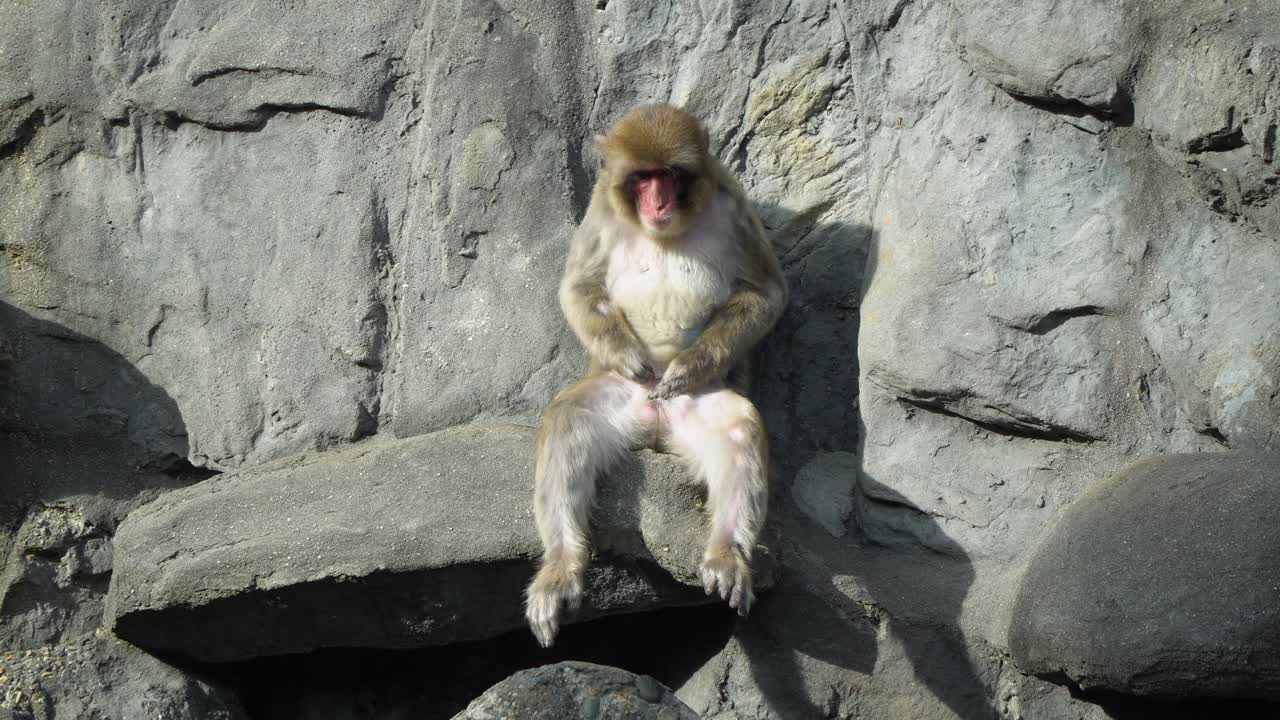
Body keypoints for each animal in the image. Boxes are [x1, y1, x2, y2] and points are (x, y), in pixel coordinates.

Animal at [524, 104, 787, 648]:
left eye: (668, 175)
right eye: (642, 178)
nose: (657, 200)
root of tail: (655, 424)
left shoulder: (734, 204)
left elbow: (765, 292)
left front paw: (690, 364)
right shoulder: (600, 213)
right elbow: (578, 288)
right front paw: (626, 352)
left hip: (691, 408)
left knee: (739, 427)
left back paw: (727, 553)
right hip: (623, 402)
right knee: (567, 420)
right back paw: (561, 565)